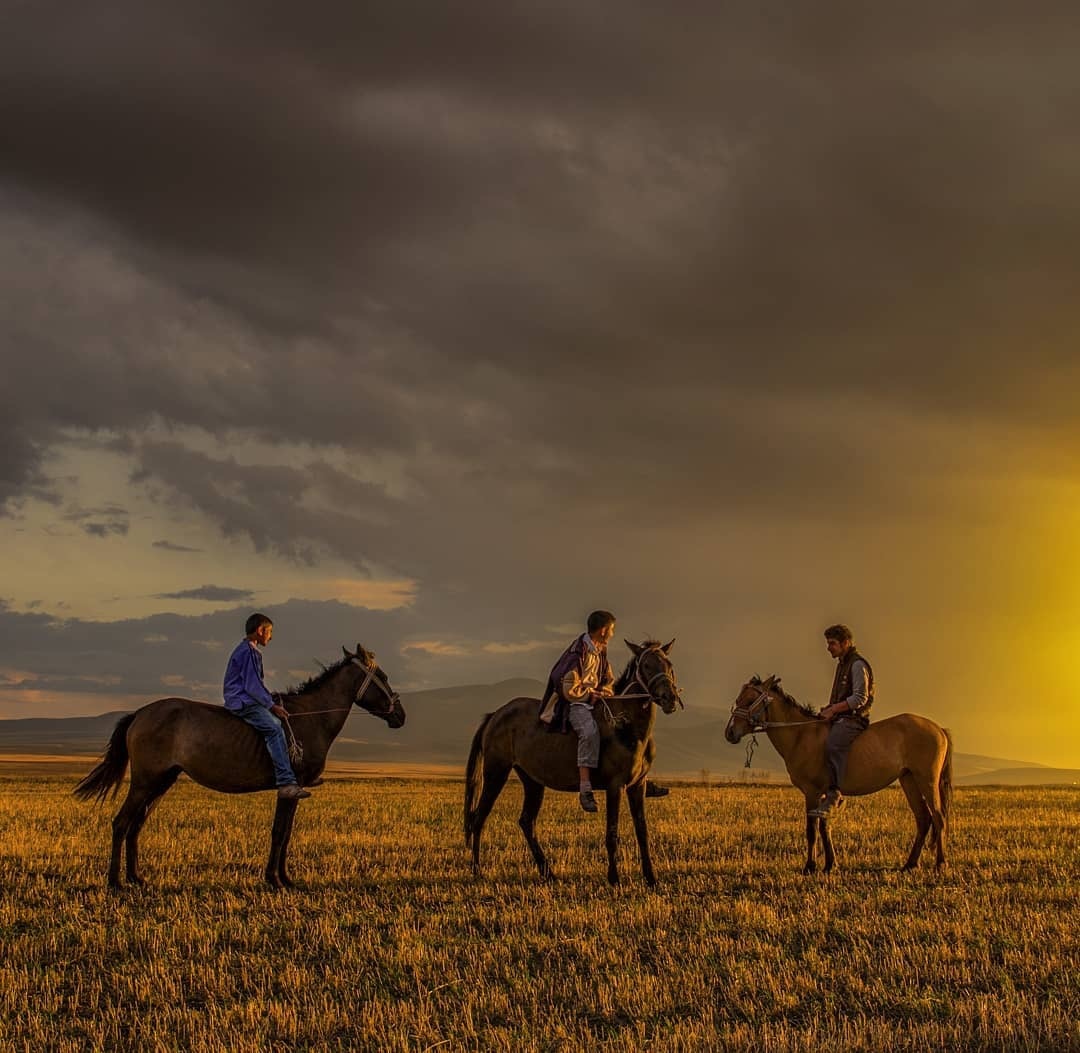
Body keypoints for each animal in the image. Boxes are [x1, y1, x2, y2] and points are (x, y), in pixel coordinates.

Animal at [75, 643, 406, 889]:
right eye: (384, 676)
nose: (400, 715)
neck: (311, 718)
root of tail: (140, 713)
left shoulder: (295, 791)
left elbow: (287, 833)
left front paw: (286, 879)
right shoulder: (289, 788)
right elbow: (279, 832)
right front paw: (273, 880)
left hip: (160, 782)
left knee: (136, 824)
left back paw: (136, 878)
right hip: (144, 782)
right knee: (121, 823)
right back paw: (115, 882)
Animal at [464, 639, 682, 885]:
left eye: (669, 664)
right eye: (646, 665)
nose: (669, 698)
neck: (628, 728)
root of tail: (495, 714)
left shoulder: (637, 785)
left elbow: (642, 831)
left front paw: (651, 878)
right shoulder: (615, 785)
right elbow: (612, 833)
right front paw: (614, 878)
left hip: (532, 781)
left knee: (526, 821)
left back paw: (547, 872)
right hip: (496, 773)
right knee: (478, 817)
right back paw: (477, 870)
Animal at [725, 673, 954, 872]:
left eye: (749, 700)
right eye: (738, 699)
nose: (730, 733)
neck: (801, 735)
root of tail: (939, 729)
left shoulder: (812, 792)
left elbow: (812, 830)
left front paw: (810, 866)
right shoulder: (825, 794)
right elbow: (825, 827)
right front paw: (830, 864)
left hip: (927, 781)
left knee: (938, 817)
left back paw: (940, 864)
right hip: (909, 780)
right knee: (923, 818)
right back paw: (910, 864)